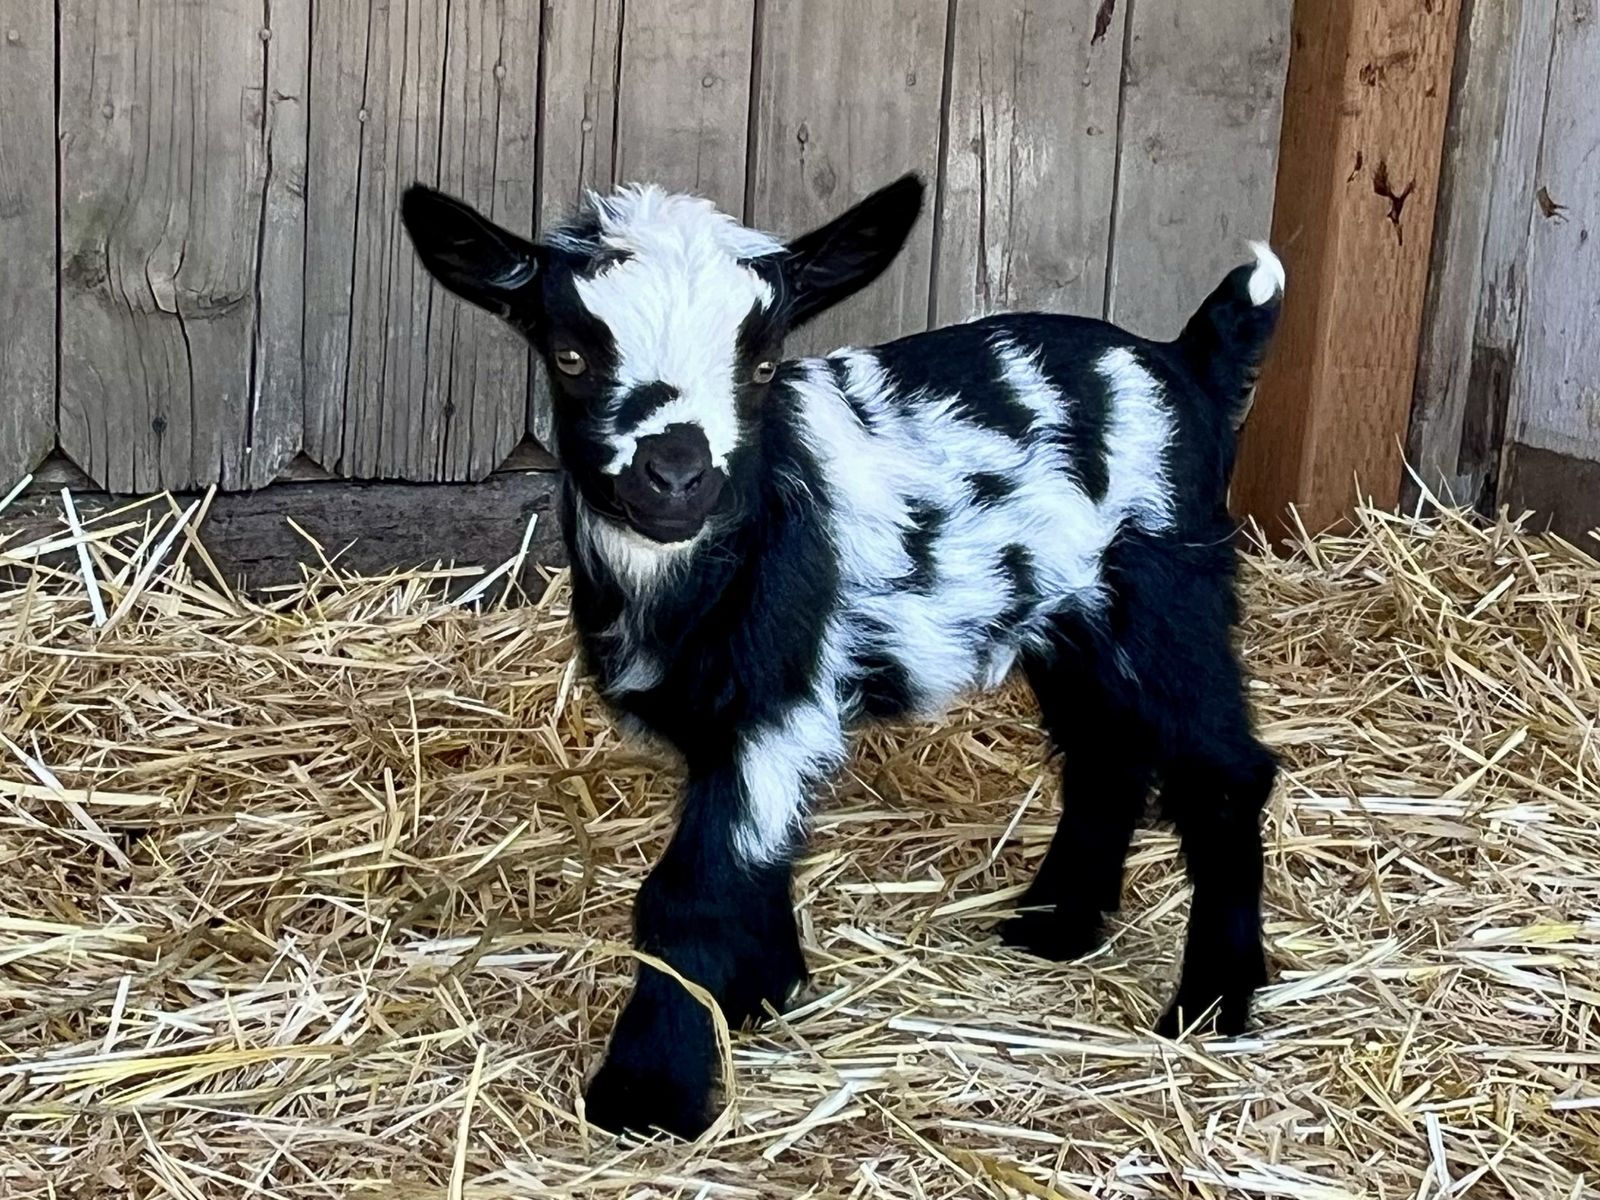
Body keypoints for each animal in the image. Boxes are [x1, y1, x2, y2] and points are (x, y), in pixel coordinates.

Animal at [401, 174, 1284, 1140]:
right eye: (569, 357)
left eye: (760, 366)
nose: (675, 477)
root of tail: (1182, 362)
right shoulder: (727, 722)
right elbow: (757, 856)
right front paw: (762, 992)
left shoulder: (779, 703)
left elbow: (694, 892)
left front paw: (650, 1090)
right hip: (1073, 617)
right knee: (1107, 750)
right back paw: (1057, 925)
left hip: (1169, 588)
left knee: (1223, 771)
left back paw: (1212, 1002)